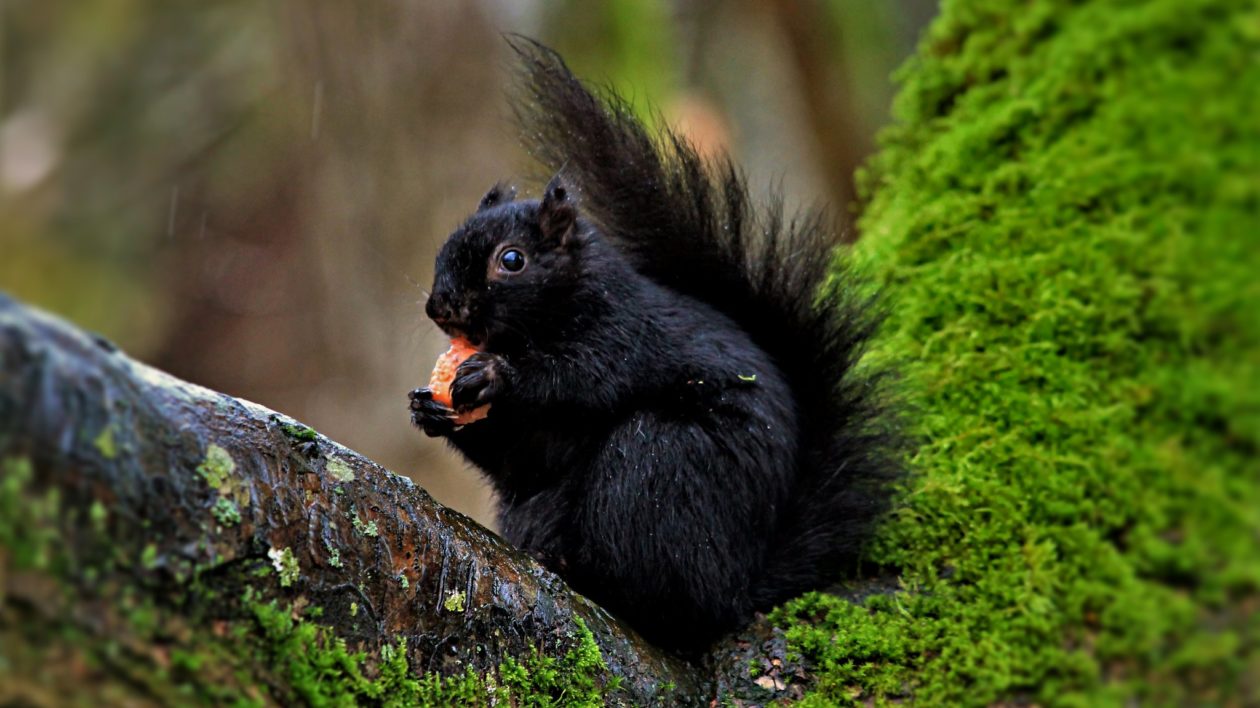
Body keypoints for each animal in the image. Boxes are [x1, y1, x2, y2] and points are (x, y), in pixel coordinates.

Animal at [408, 38, 902, 650]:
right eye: (445, 247)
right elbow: (521, 456)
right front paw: (430, 410)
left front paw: (496, 375)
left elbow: (580, 376)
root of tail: (736, 592)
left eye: (512, 260)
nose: (440, 307)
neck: (557, 314)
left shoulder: (624, 335)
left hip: (659, 462)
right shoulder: (534, 443)